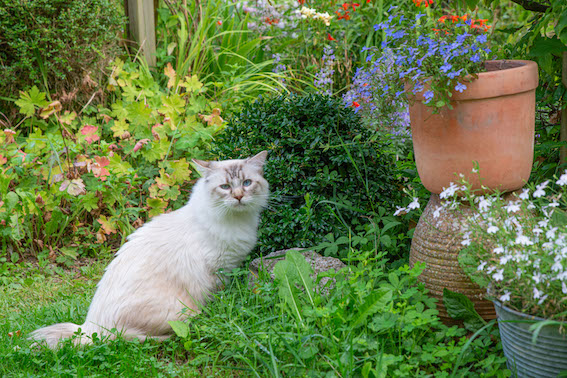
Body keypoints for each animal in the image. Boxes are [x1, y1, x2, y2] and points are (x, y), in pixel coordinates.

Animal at [30, 151, 270, 348]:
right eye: (225, 187)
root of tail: (90, 328)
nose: (238, 196)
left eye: (247, 183)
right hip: (181, 310)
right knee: (124, 337)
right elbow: (220, 296)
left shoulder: (231, 266)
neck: (235, 221)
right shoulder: (219, 271)